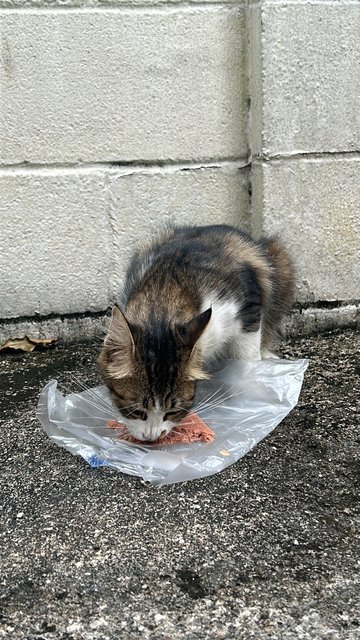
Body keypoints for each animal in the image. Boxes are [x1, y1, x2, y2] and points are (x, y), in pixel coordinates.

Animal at [97, 224, 294, 440]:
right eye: (136, 411)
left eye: (173, 412)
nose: (152, 437)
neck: (163, 300)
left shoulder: (247, 304)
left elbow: (247, 354)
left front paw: (252, 389)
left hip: (280, 263)